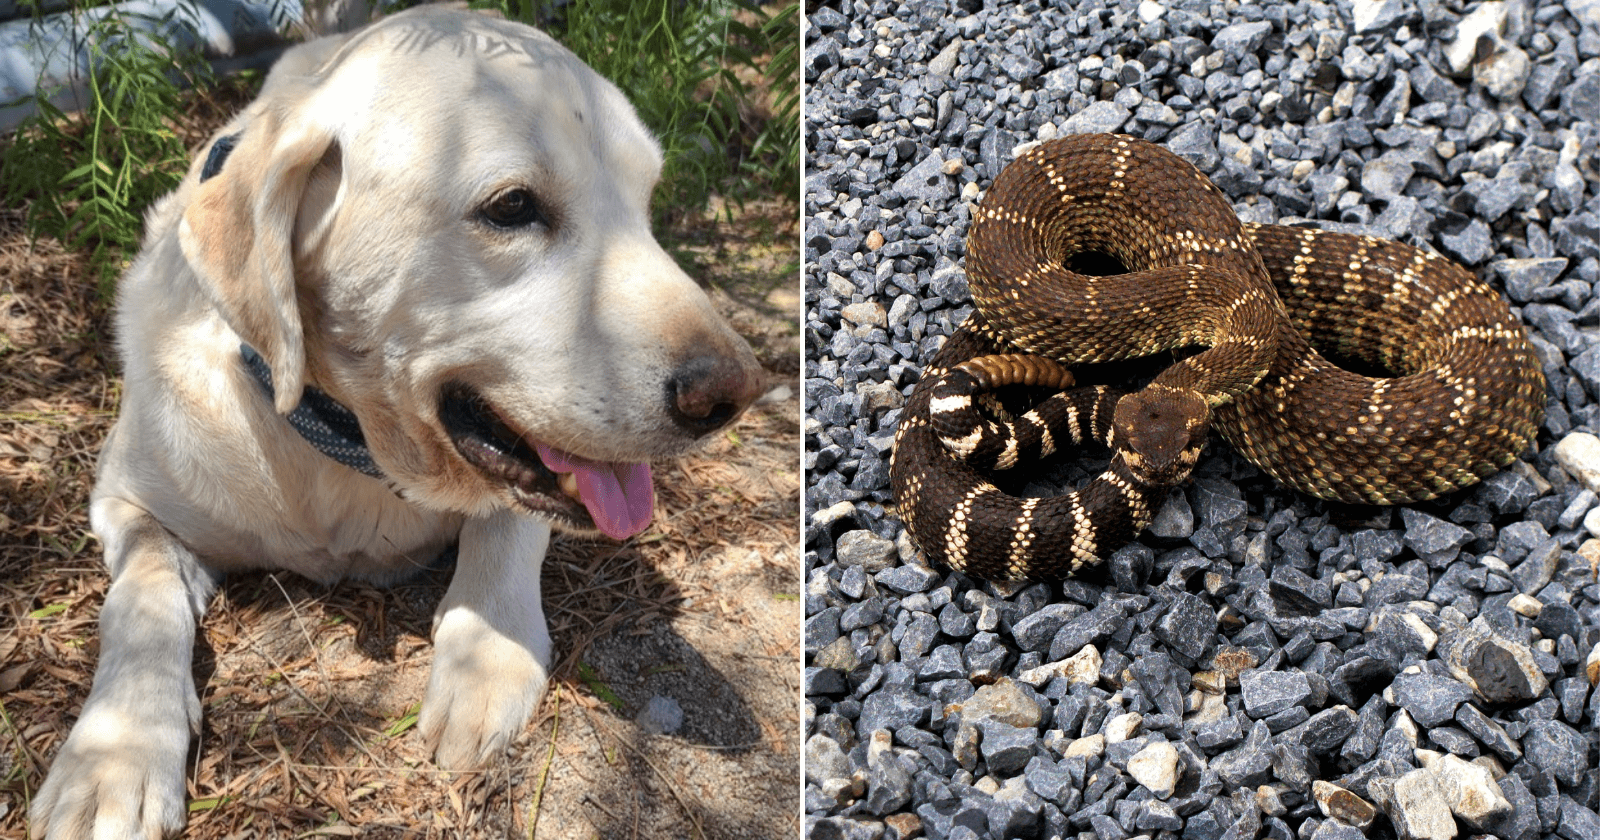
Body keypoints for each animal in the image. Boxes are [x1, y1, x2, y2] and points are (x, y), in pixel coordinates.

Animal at [28, 8, 764, 838]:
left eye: (645, 203)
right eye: (512, 207)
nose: (734, 393)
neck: (344, 445)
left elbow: (506, 527)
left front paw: (485, 659)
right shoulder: (125, 500)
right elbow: (142, 597)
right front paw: (113, 754)